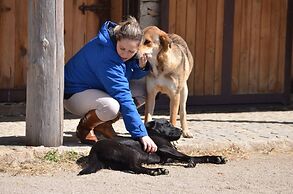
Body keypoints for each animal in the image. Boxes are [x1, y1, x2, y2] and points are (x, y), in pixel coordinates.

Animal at [78, 118, 226, 176]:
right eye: (167, 124)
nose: (181, 130)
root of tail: (94, 150)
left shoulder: (171, 155)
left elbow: (199, 156)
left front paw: (216, 158)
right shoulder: (165, 149)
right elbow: (189, 156)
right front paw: (191, 162)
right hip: (130, 152)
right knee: (134, 167)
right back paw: (156, 171)